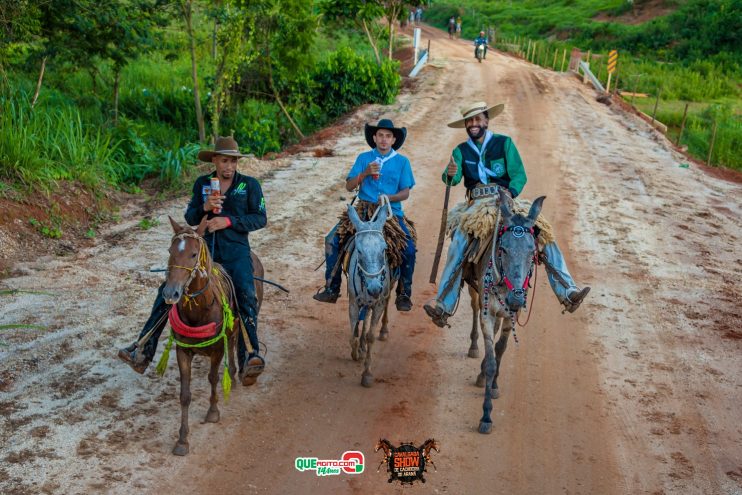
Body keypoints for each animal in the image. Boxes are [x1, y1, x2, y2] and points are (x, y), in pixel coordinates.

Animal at [161, 217, 264, 458]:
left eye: (193, 254)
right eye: (170, 251)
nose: (170, 293)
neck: (199, 311)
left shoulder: (216, 350)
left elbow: (213, 378)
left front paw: (213, 412)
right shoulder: (182, 351)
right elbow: (185, 394)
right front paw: (182, 440)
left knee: (240, 342)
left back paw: (246, 370)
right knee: (234, 342)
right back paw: (234, 376)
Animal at [348, 200, 398, 390]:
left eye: (384, 249)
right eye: (359, 251)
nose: (375, 289)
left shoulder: (378, 303)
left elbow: (370, 336)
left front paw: (367, 374)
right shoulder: (353, 302)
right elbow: (353, 330)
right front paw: (356, 351)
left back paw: (383, 331)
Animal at [464, 190, 548, 434]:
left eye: (532, 251)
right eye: (503, 249)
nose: (516, 299)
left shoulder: (512, 316)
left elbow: (500, 350)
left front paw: (493, 386)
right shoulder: (488, 314)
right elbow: (493, 359)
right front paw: (486, 416)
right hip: (476, 293)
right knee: (474, 309)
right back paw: (474, 348)